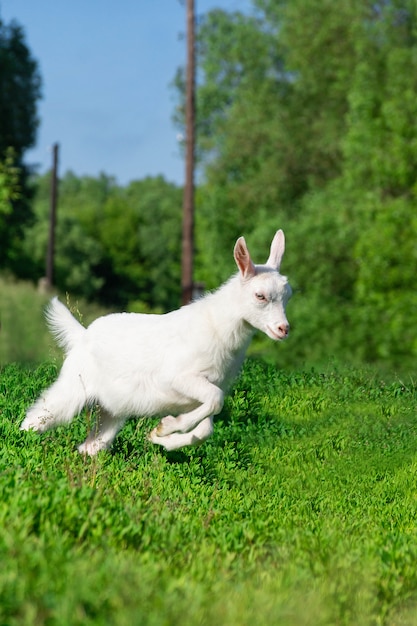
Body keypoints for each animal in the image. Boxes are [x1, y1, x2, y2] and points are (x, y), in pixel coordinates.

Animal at [20, 229, 292, 454]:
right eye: (260, 295)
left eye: (288, 296)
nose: (283, 329)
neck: (215, 328)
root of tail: (81, 335)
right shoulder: (178, 377)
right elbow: (216, 400)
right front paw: (167, 426)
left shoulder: (199, 394)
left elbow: (207, 426)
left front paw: (160, 437)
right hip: (74, 388)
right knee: (37, 418)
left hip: (111, 410)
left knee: (91, 445)